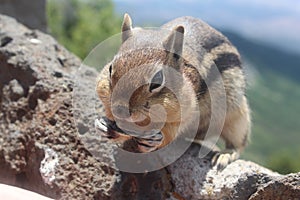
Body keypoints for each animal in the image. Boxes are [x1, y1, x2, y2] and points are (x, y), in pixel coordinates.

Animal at [96, 13, 251, 169]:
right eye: (110, 68)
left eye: (157, 80)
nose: (120, 110)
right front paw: (104, 125)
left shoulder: (186, 110)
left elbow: (170, 133)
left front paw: (153, 142)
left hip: (237, 117)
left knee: (238, 142)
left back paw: (225, 154)